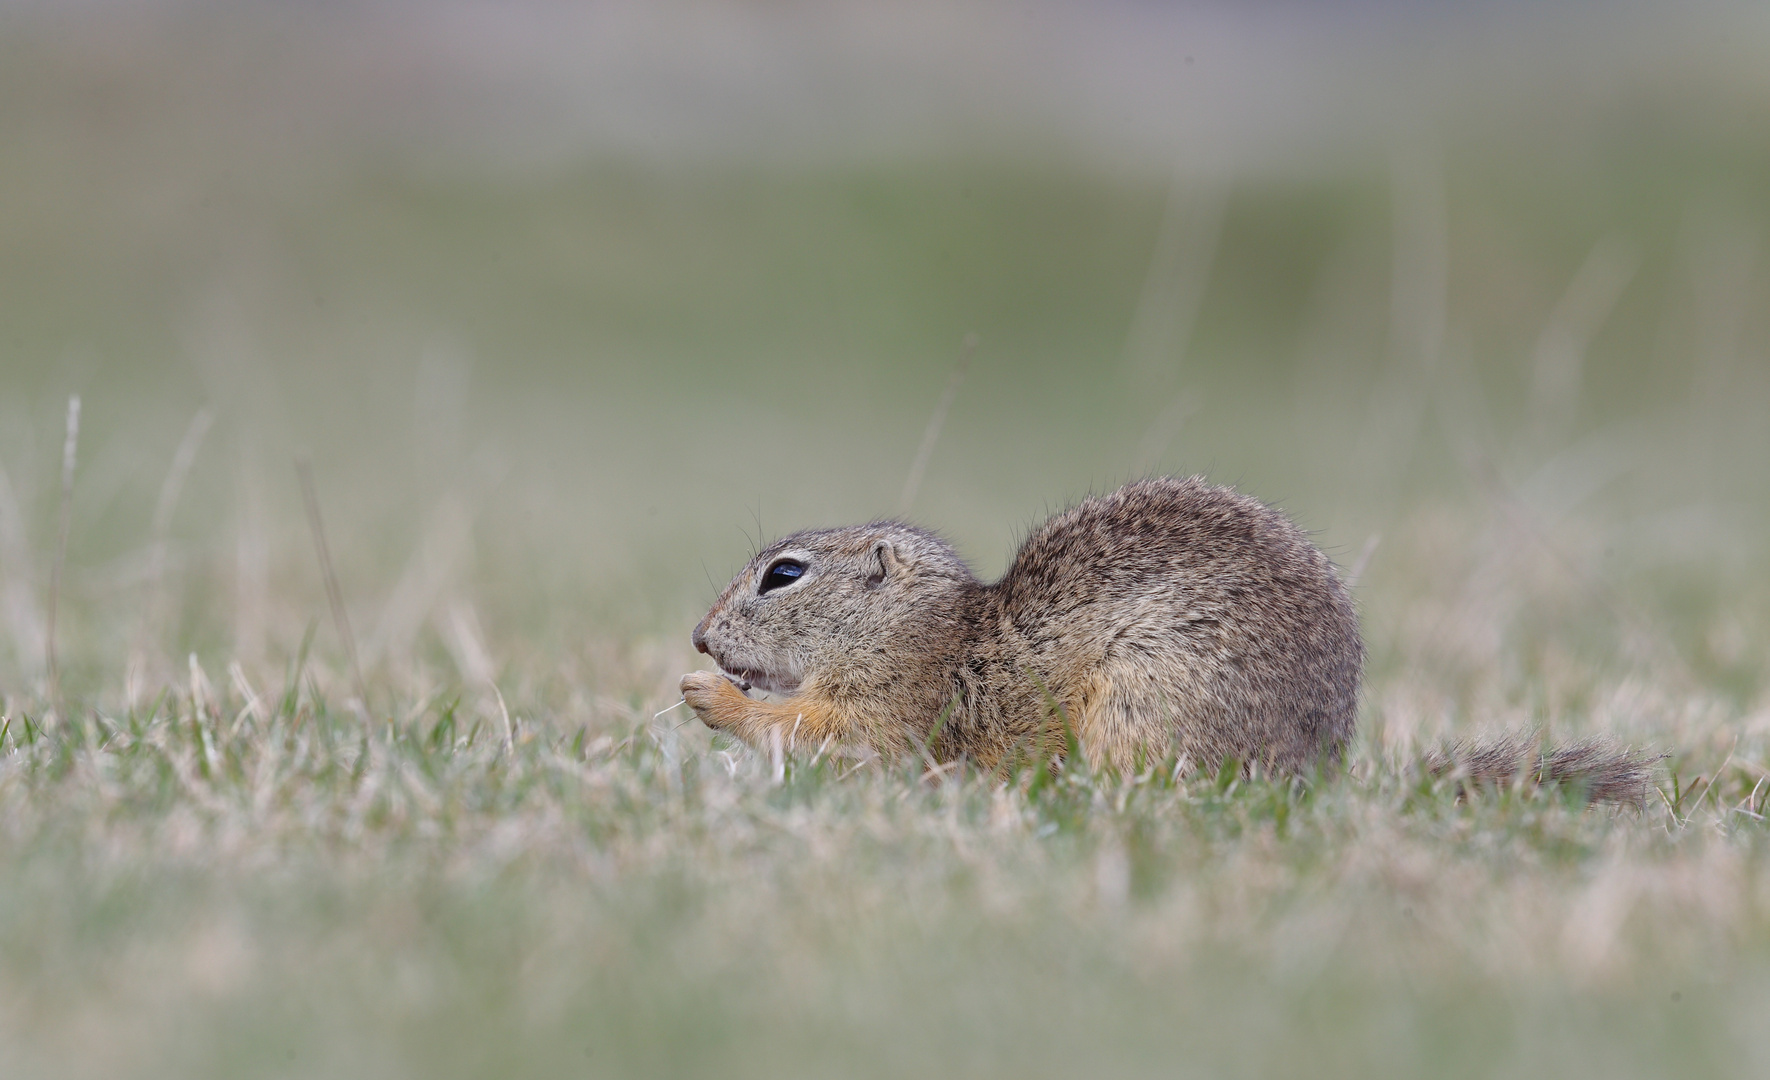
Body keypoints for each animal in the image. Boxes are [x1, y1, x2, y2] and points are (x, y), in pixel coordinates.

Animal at [679, 474, 1656, 800]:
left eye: (783, 575)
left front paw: (710, 697)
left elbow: (821, 733)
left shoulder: (894, 706)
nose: (695, 638)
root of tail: (1319, 765)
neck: (918, 628)